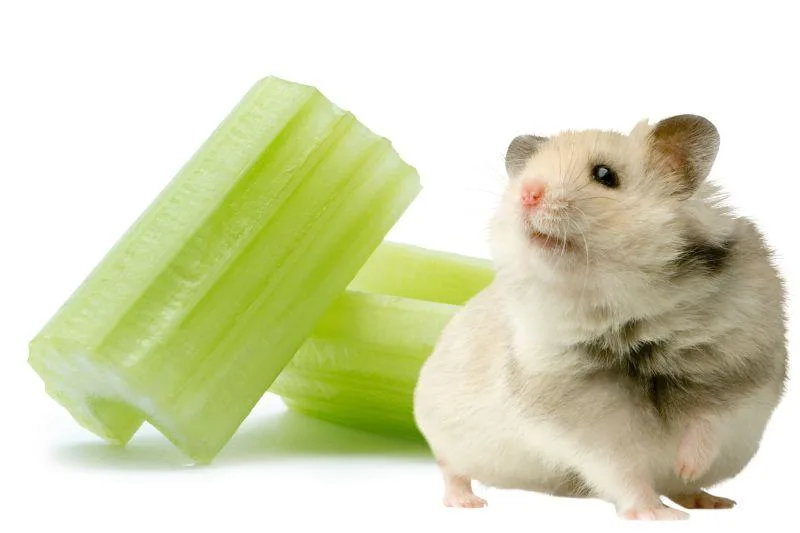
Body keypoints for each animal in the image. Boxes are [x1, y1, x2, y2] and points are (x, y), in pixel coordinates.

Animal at [413, 115, 788, 520]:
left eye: (605, 175)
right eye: (526, 174)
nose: (526, 193)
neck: (629, 315)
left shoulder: (740, 373)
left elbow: (709, 424)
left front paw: (686, 468)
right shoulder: (587, 426)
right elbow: (623, 471)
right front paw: (656, 515)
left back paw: (711, 500)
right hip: (449, 439)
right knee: (451, 470)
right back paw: (467, 502)